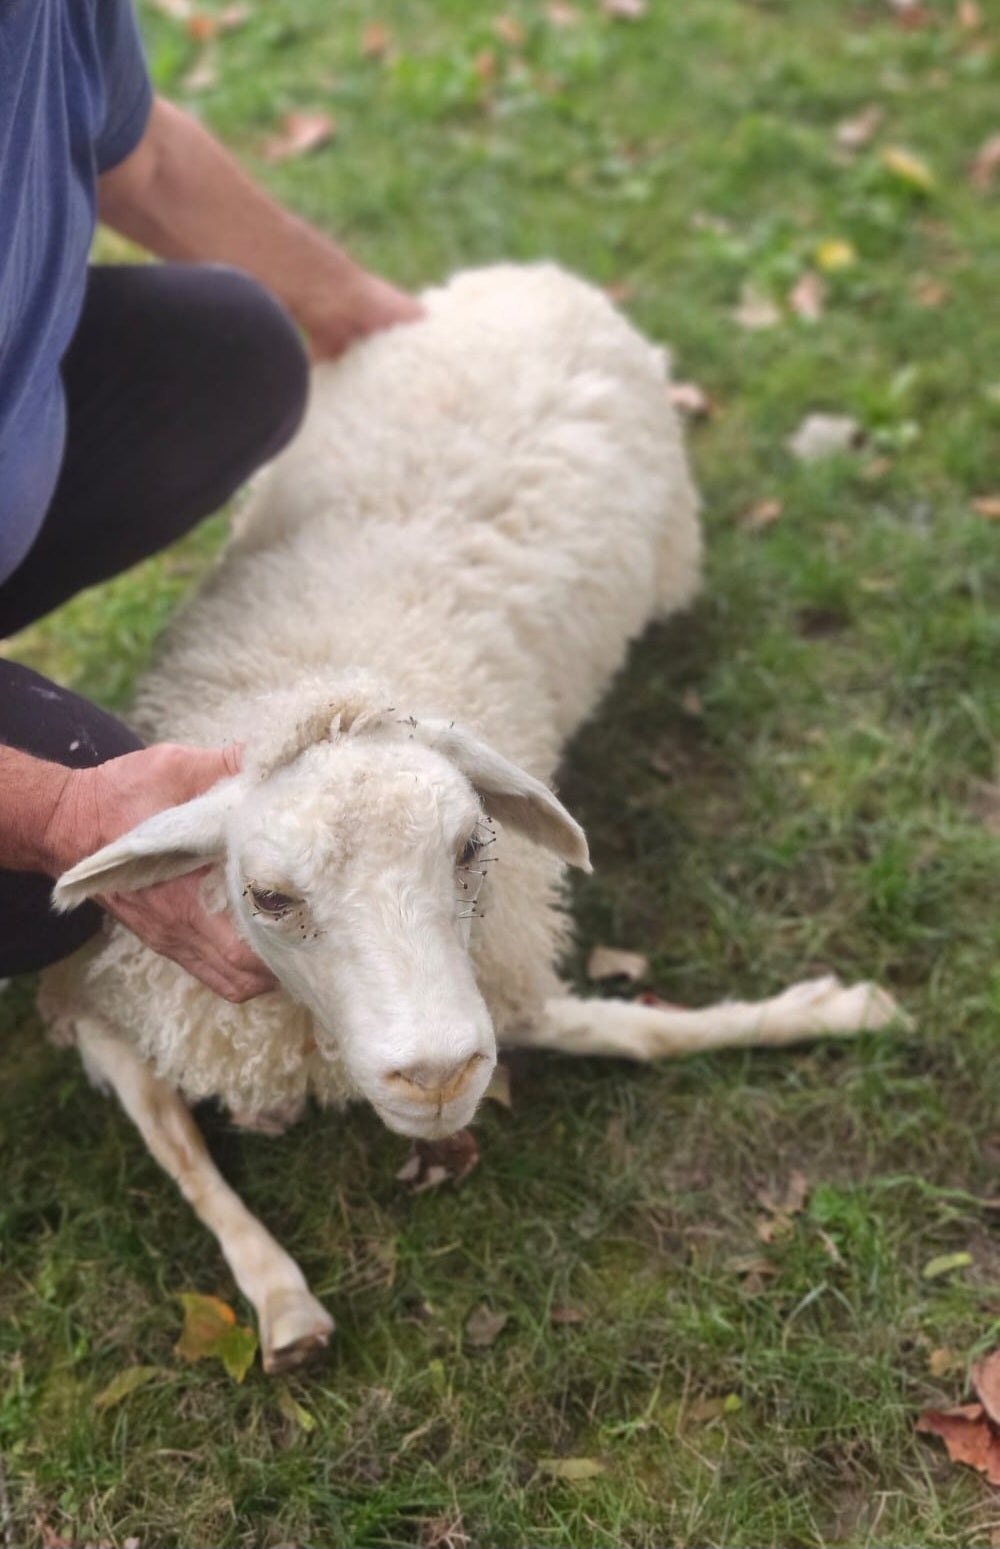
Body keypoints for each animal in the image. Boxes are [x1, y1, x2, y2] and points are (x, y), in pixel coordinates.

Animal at [40, 263, 902, 1374]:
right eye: (268, 897)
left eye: (471, 847)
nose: (440, 1072)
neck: (314, 675)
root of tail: (536, 276)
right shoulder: (99, 1003)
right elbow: (182, 1151)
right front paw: (282, 1300)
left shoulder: (500, 961)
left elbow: (627, 1031)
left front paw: (825, 1010)